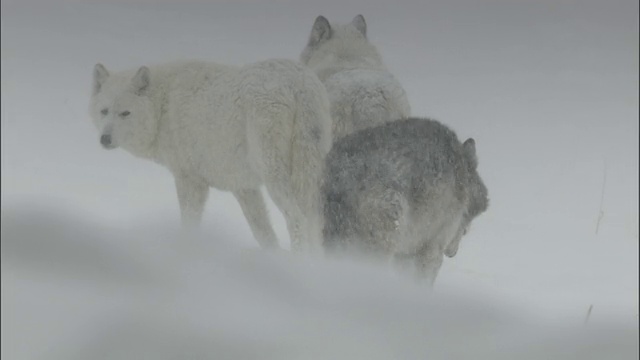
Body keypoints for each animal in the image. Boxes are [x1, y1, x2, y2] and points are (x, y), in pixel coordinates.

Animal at [89, 59, 332, 253]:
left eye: (125, 113)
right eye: (104, 111)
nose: (104, 139)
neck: (163, 106)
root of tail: (298, 83)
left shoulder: (189, 180)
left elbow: (189, 221)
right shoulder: (244, 188)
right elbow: (263, 234)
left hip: (274, 175)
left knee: (298, 220)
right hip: (309, 175)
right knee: (315, 222)